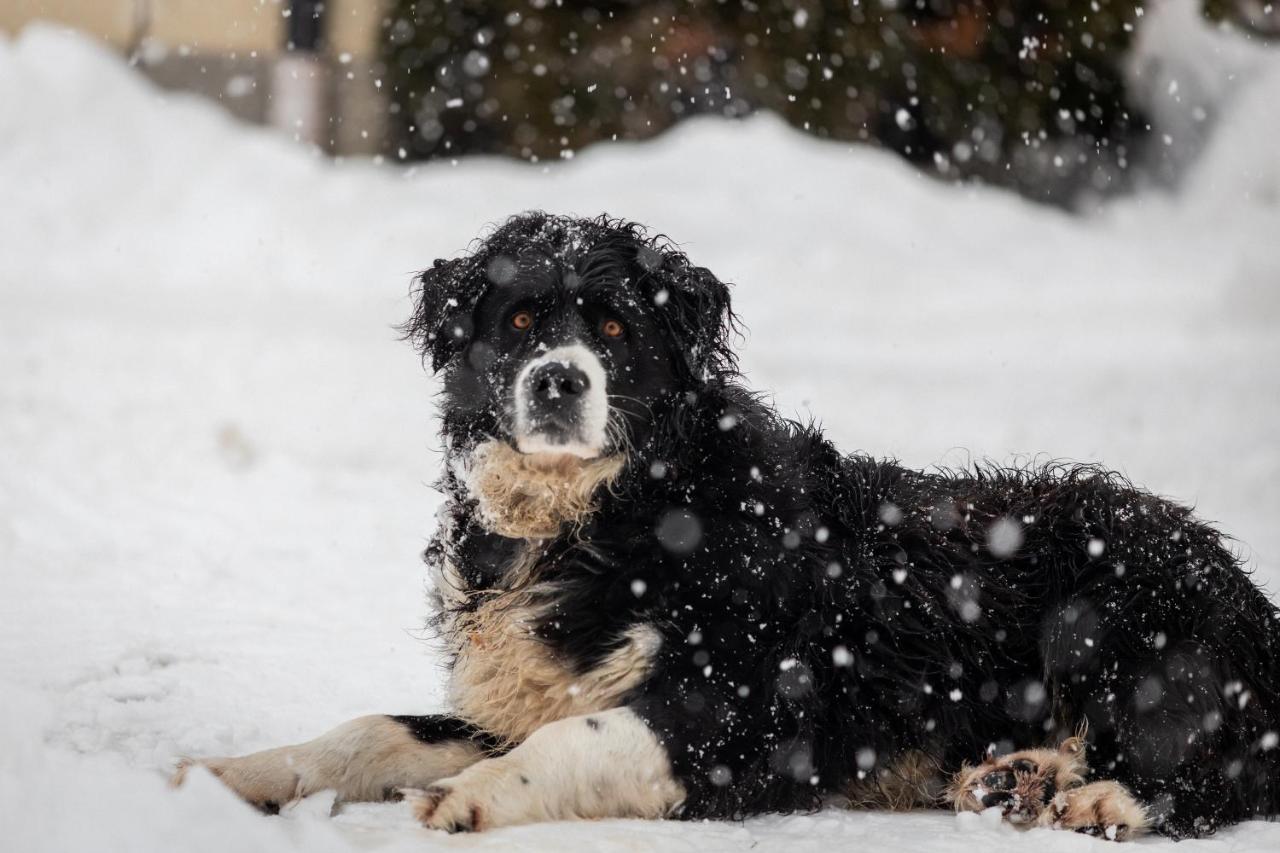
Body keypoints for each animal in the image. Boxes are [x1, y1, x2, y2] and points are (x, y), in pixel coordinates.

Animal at [172, 211, 1280, 835]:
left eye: (614, 325)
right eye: (520, 321)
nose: (560, 380)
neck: (616, 517)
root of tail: (1252, 603)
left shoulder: (733, 712)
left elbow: (578, 737)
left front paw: (475, 794)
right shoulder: (511, 695)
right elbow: (368, 730)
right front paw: (233, 775)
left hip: (1121, 617)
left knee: (1221, 772)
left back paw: (1102, 800)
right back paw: (1022, 777)